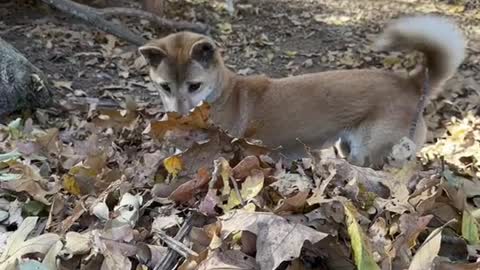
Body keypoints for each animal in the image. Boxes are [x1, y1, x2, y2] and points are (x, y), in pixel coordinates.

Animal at [139, 15, 464, 168]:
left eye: (194, 86)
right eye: (165, 87)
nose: (178, 118)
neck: (222, 94)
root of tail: (412, 83)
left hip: (370, 150)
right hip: (346, 145)